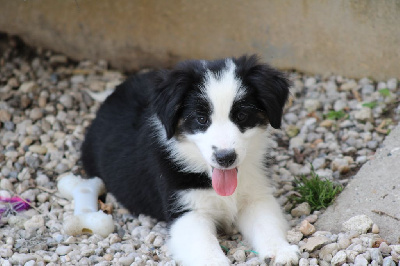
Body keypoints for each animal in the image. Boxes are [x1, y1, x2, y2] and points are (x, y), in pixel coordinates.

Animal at [81, 55, 298, 264]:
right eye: (201, 119)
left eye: (242, 115)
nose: (225, 157)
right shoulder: (186, 211)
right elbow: (205, 247)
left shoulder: (255, 196)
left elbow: (267, 224)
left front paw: (281, 251)